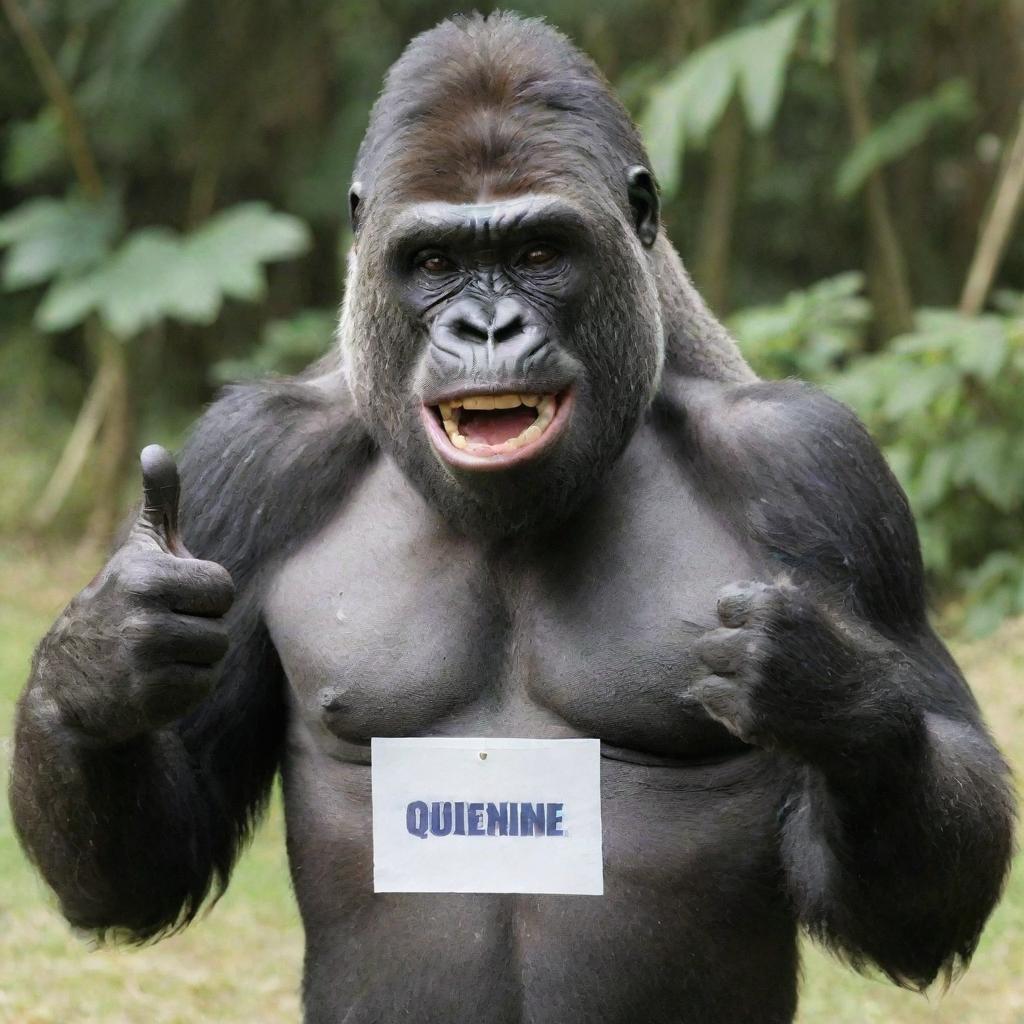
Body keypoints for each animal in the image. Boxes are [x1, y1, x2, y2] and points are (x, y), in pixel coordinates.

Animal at [8, 14, 1015, 1024]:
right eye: (436, 263)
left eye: (539, 253)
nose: (486, 329)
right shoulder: (247, 464)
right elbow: (159, 855)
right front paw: (102, 664)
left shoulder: (818, 466)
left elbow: (922, 884)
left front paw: (832, 695)